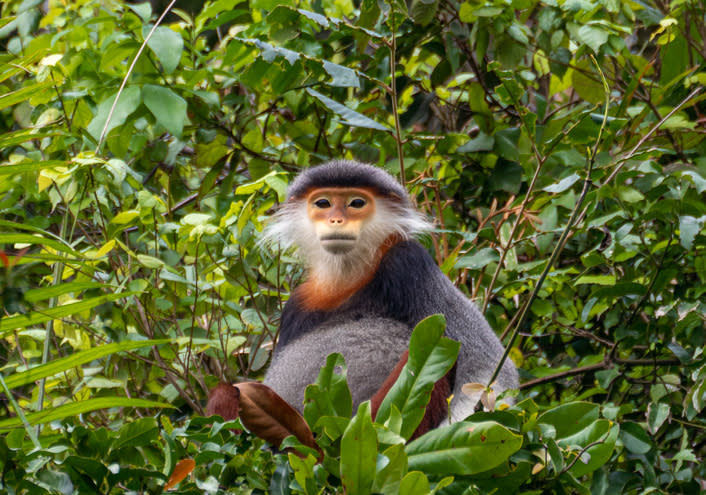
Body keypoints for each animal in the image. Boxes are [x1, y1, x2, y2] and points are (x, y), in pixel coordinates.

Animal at [208, 161, 516, 432]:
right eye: (323, 203)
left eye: (356, 203)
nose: (336, 219)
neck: (348, 278)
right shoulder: (297, 303)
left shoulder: (408, 261)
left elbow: (487, 363)